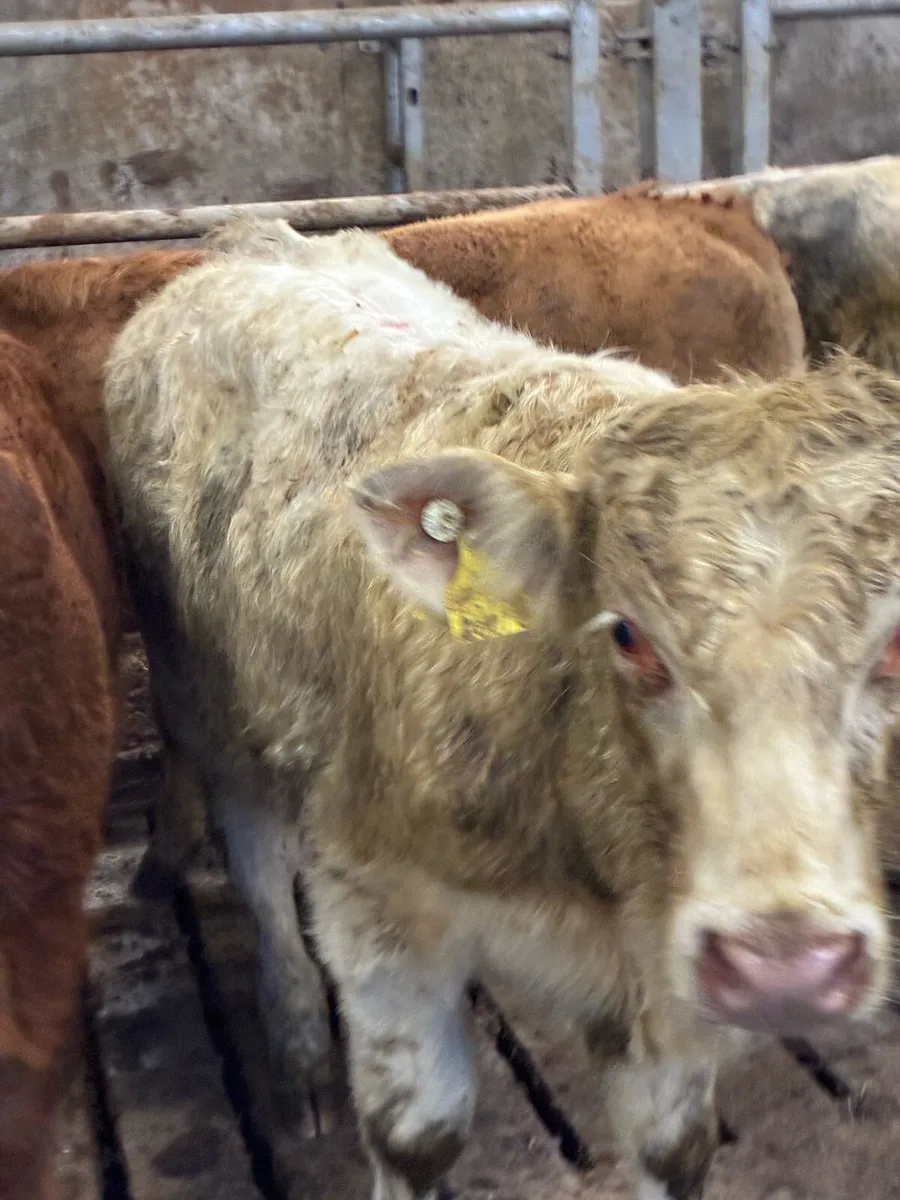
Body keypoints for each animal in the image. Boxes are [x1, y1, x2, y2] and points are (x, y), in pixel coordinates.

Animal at [103, 216, 900, 1200]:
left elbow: (675, 1147)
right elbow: (418, 1135)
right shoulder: (374, 902)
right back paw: (297, 1048)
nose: (784, 964)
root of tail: (251, 238)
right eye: (627, 634)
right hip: (198, 687)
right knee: (254, 854)